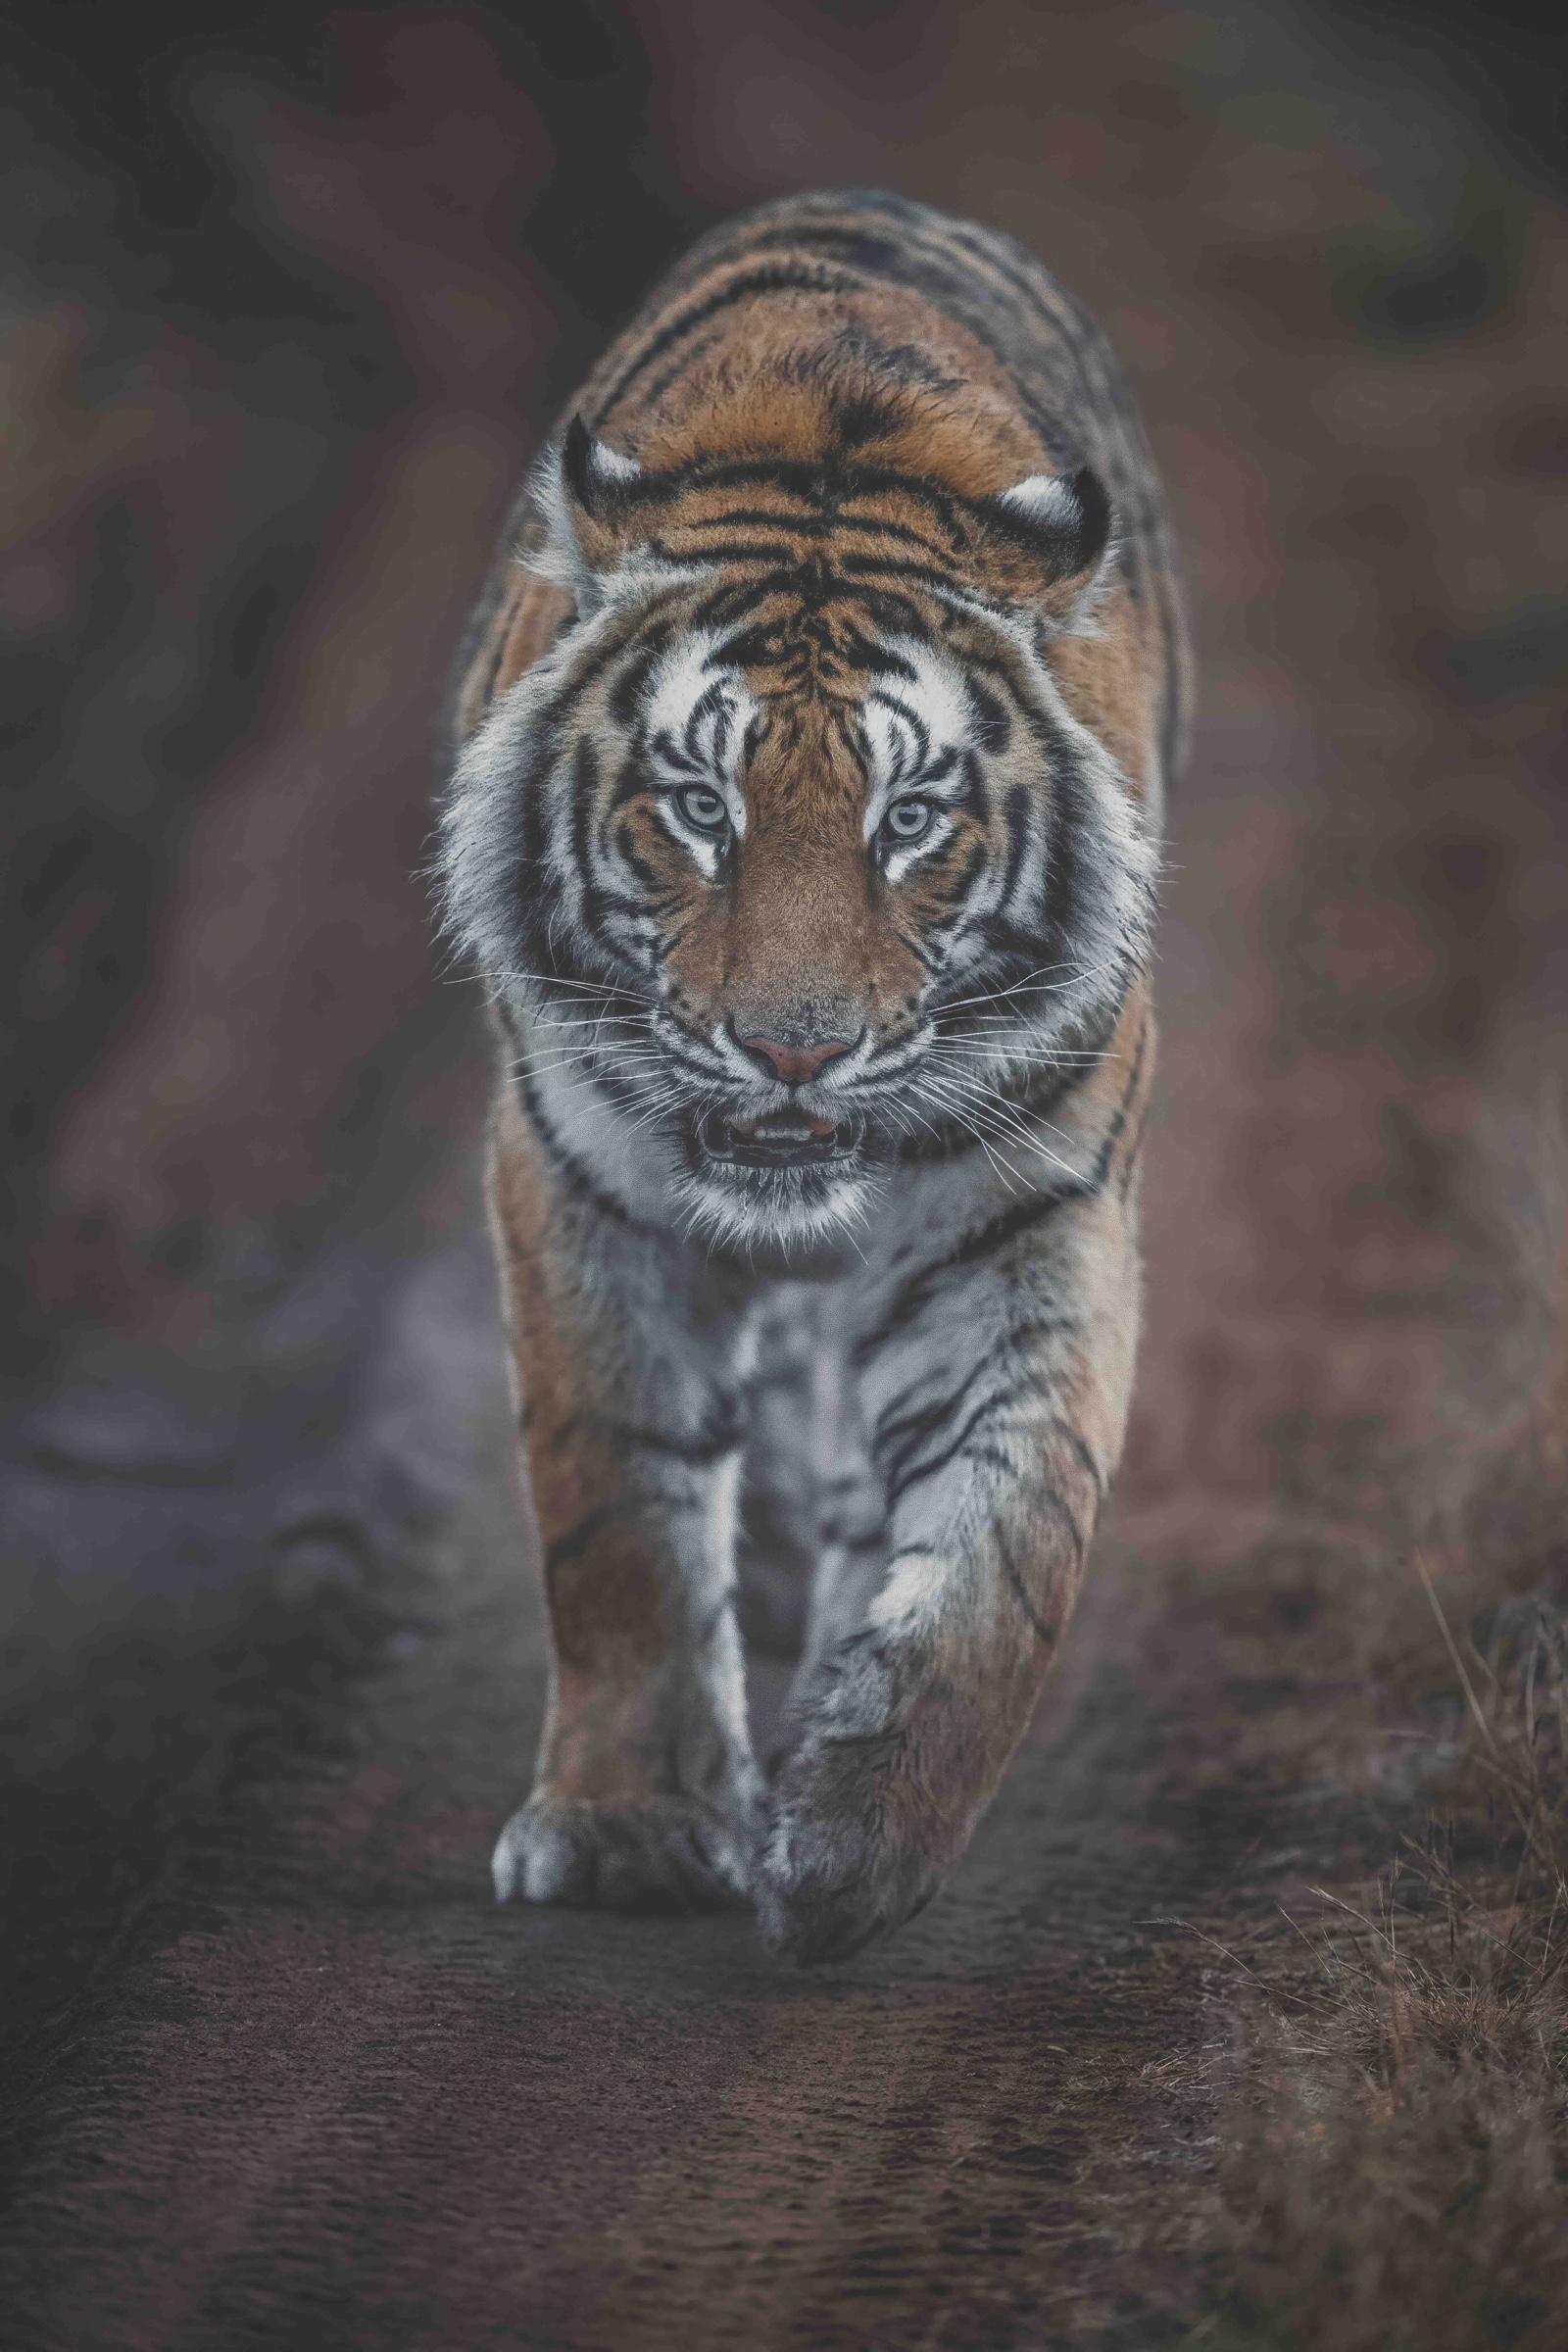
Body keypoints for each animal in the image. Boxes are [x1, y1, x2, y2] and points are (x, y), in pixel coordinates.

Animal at [437, 188, 1188, 1964]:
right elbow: (618, 1514)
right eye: (698, 806)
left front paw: (858, 1835)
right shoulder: (576, 1188)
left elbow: (1007, 1534)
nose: (795, 1046)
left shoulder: (1032, 1212)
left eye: (908, 820)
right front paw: (631, 1827)